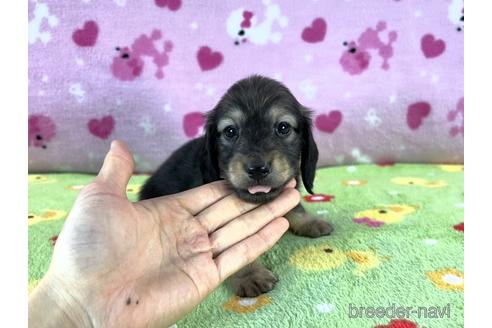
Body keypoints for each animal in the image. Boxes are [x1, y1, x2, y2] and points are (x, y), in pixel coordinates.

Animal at [140, 75, 332, 298]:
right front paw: (251, 275)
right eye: (230, 131)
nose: (257, 169)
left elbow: (295, 206)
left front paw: (310, 221)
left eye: (283, 127)